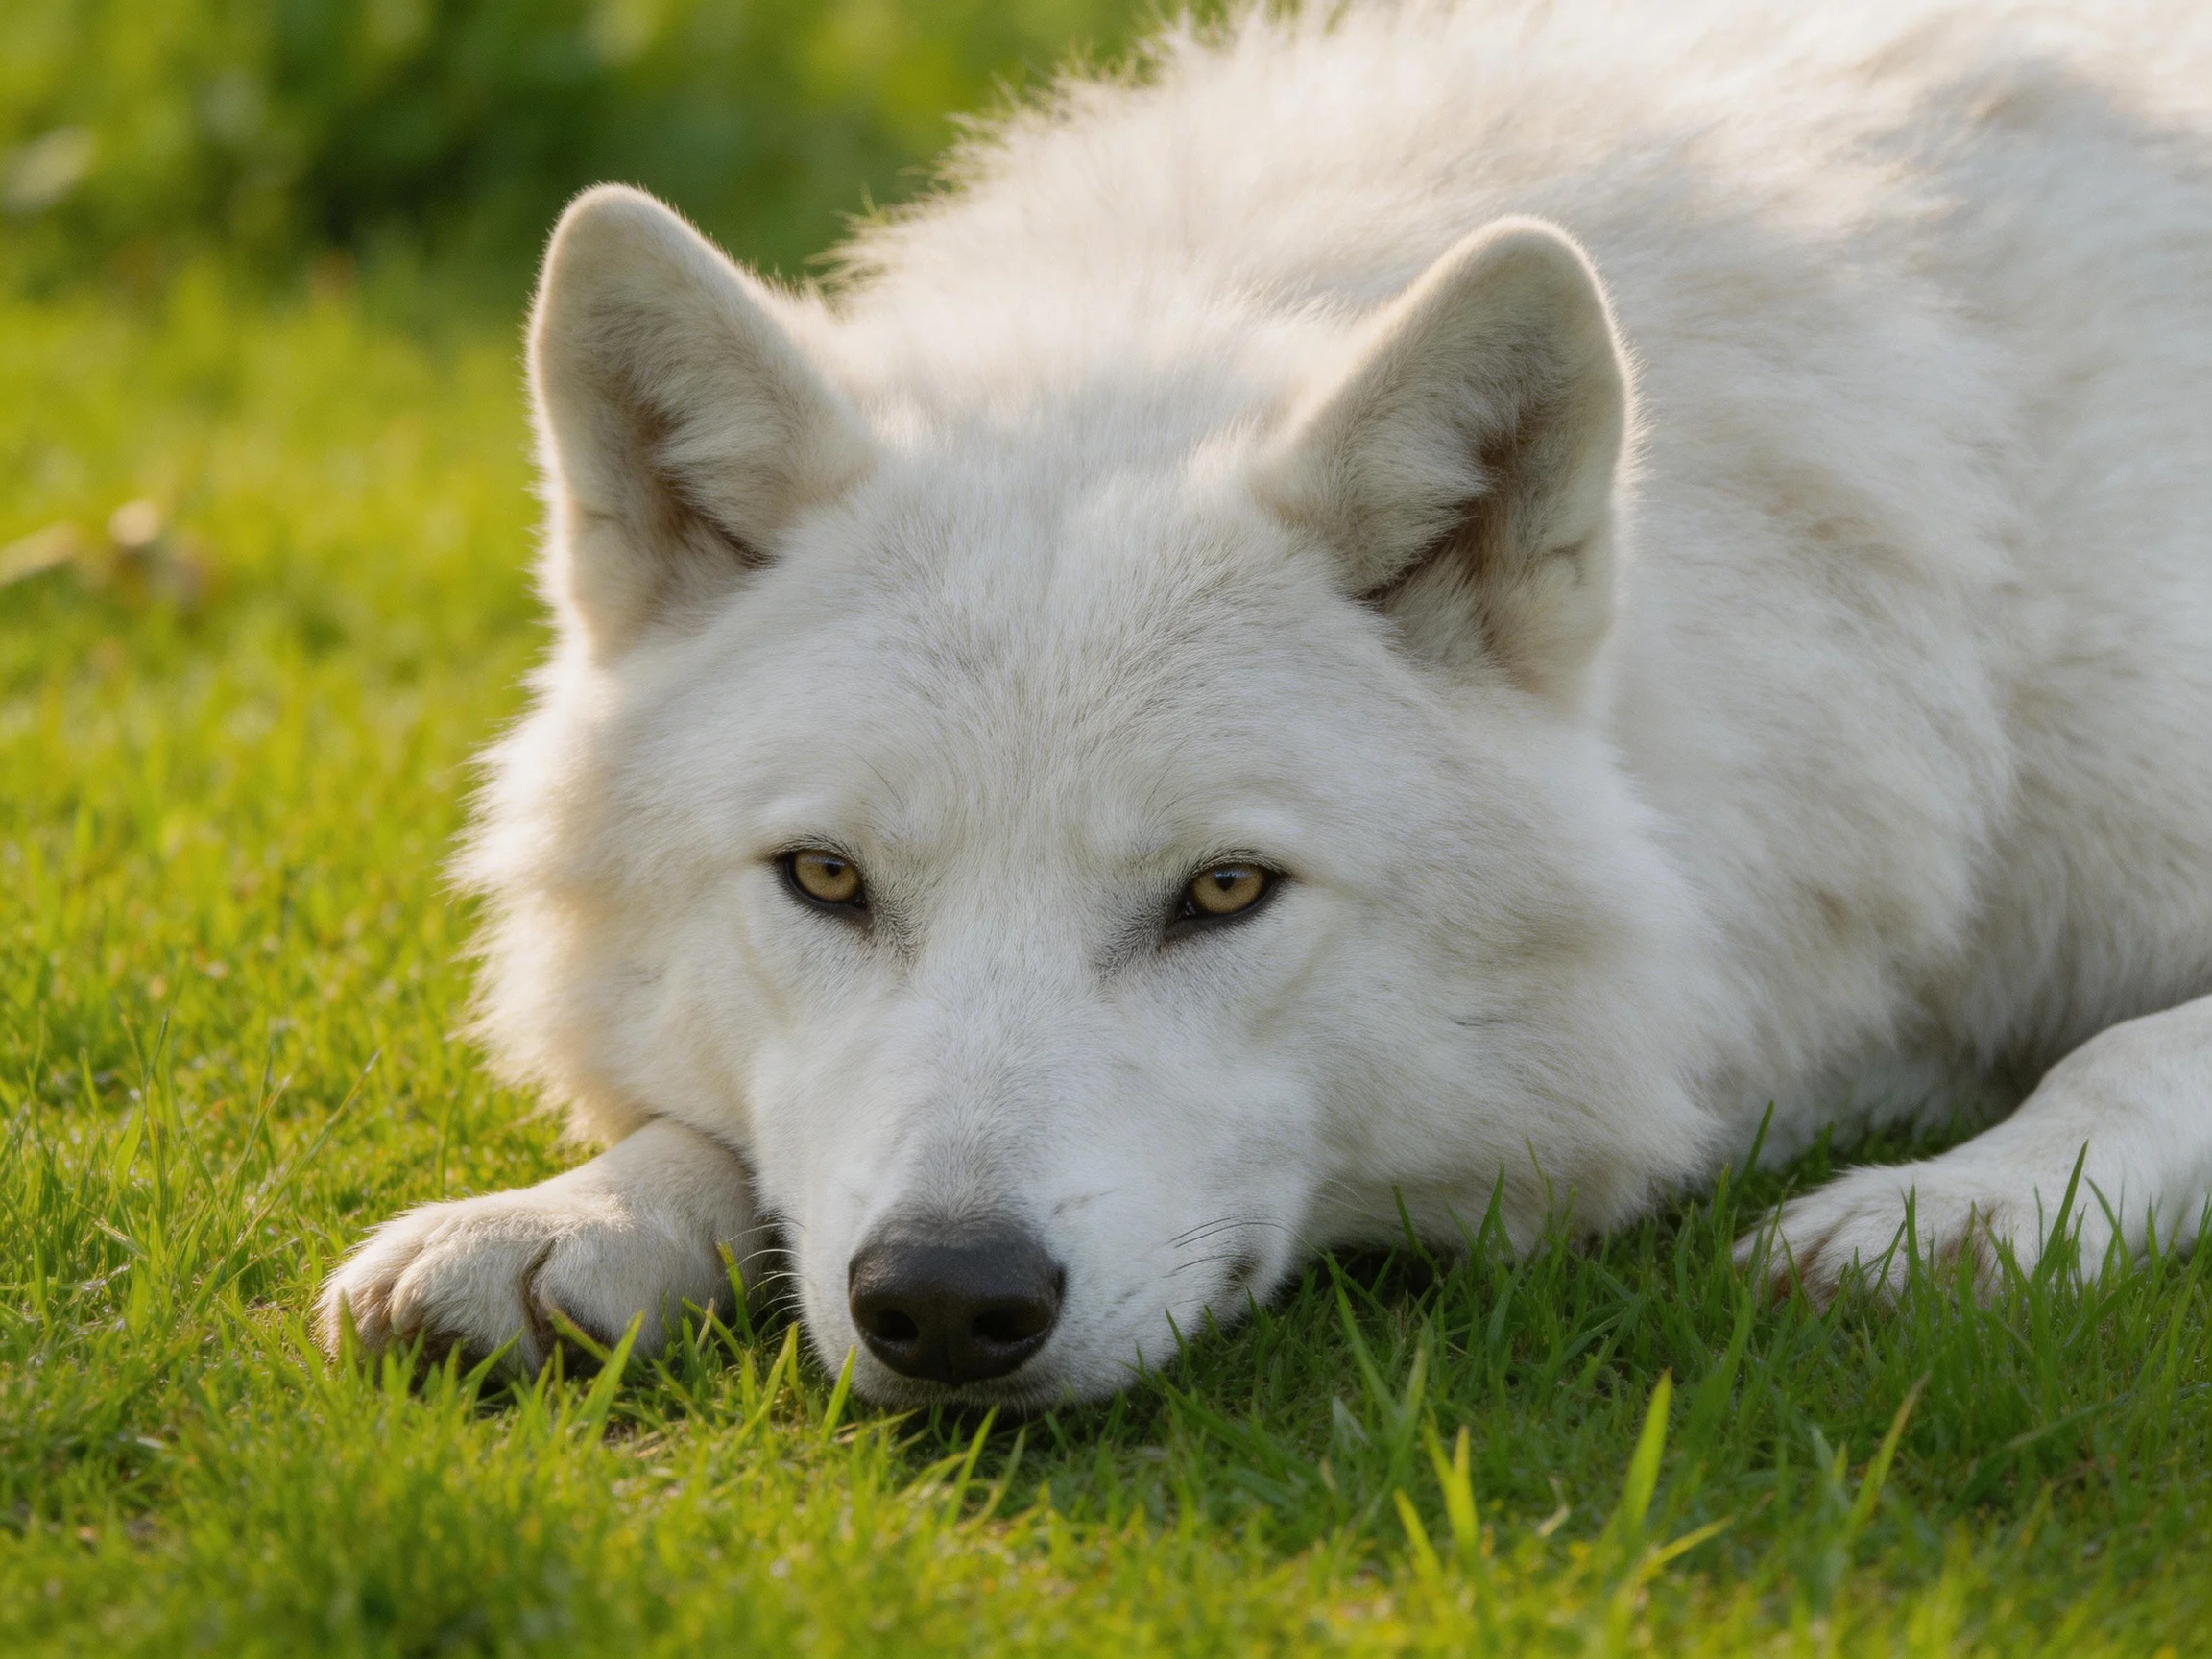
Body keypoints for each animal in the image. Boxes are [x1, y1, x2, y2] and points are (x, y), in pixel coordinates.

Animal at [317, 0, 2212, 1410]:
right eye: (825, 880)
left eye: (1224, 890)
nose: (945, 1298)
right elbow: (697, 1123)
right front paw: (573, 1214)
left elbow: (2130, 1048)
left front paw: (1954, 1212)